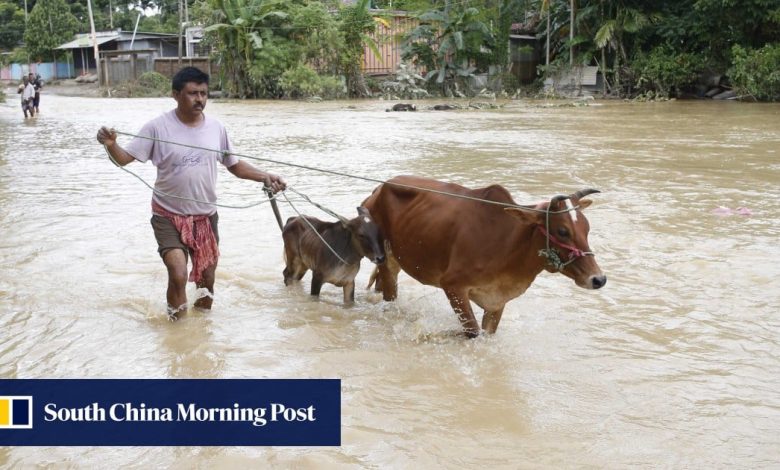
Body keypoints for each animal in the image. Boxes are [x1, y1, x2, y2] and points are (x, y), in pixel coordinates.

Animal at [362, 174, 608, 336]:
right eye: (562, 231)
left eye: (586, 228)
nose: (599, 279)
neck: (509, 244)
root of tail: (377, 191)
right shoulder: (453, 286)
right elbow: (472, 333)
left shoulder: (497, 302)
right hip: (384, 258)